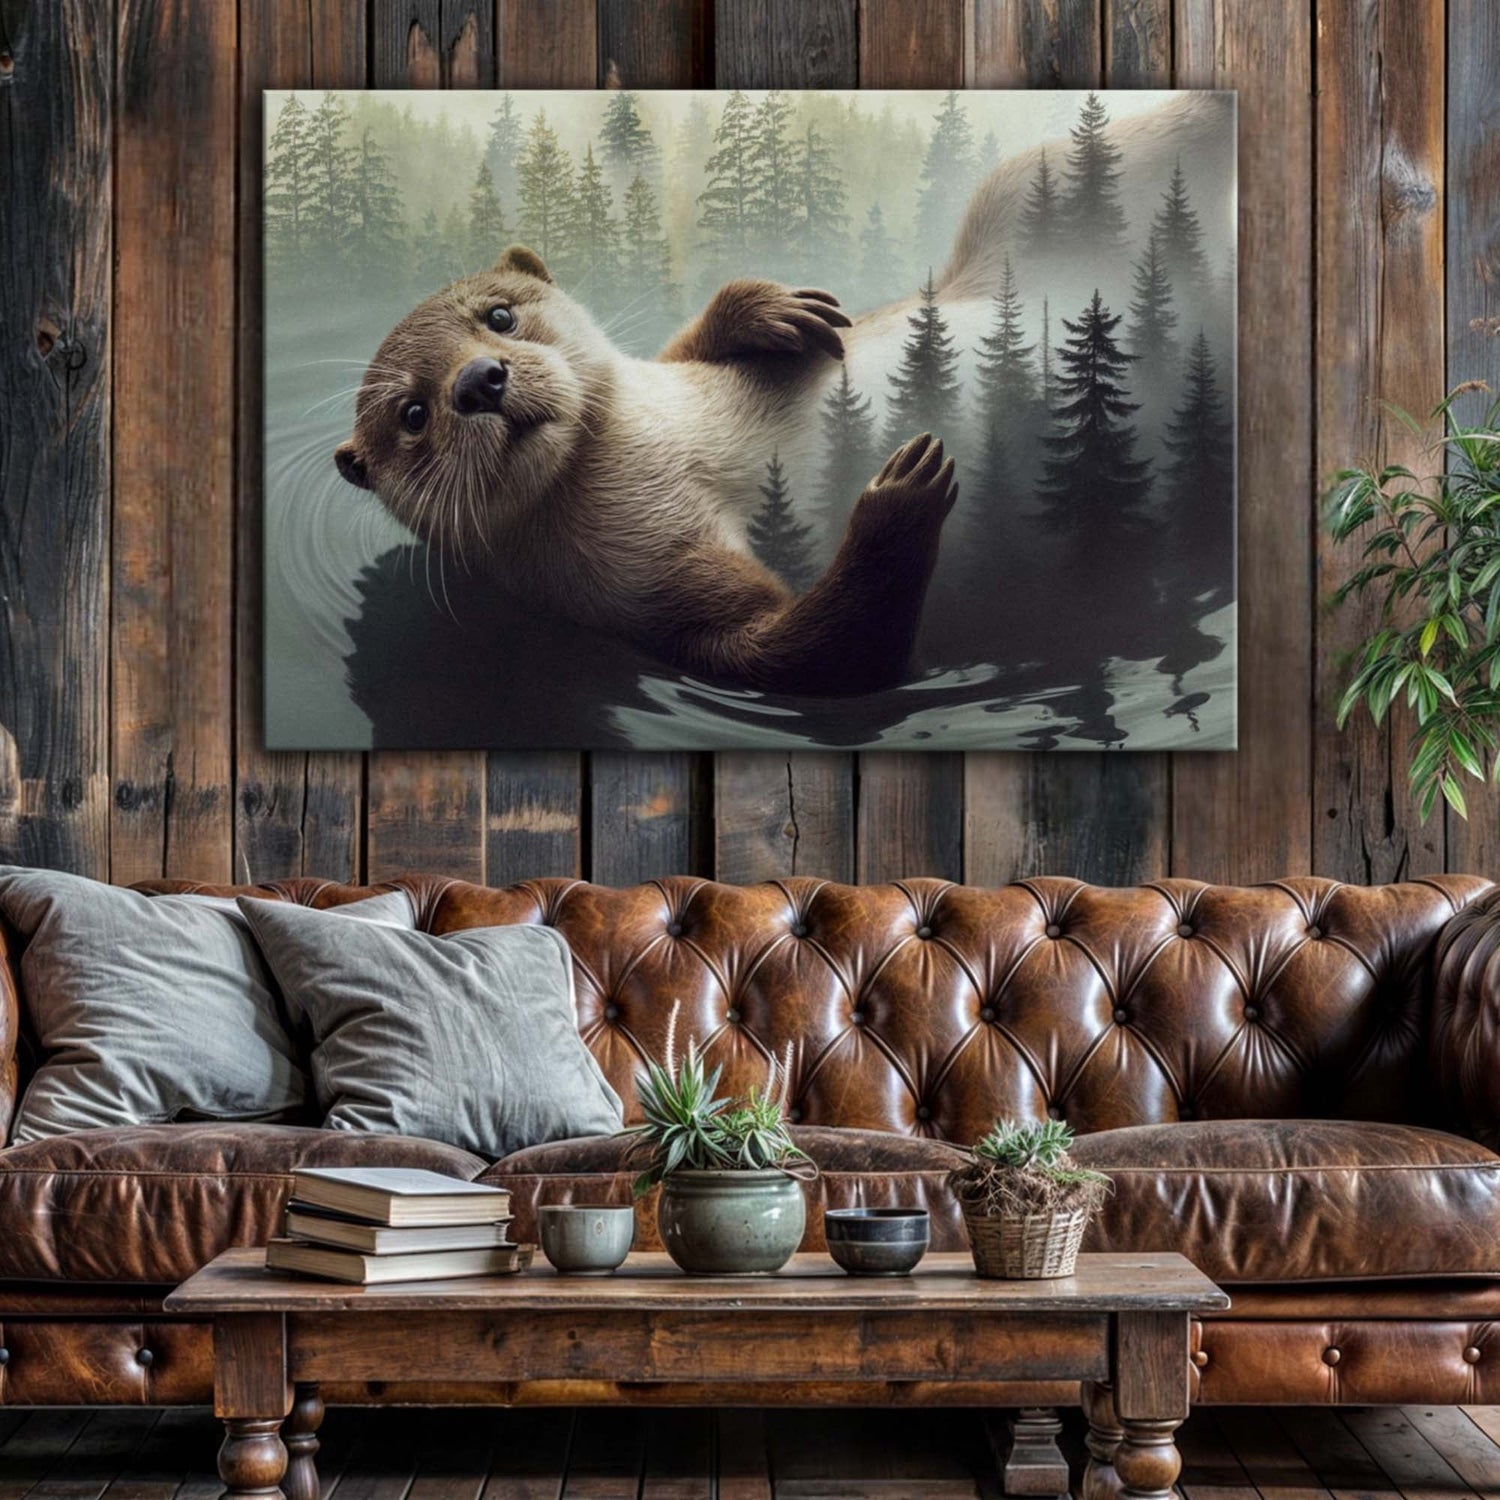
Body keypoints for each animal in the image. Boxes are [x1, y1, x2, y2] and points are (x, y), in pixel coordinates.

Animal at [334, 246, 956, 697]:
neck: (646, 459)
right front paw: (900, 495)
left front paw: (769, 307)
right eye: (412, 414)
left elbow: (683, 346)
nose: (479, 379)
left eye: (500, 315)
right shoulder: (661, 607)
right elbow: (809, 655)